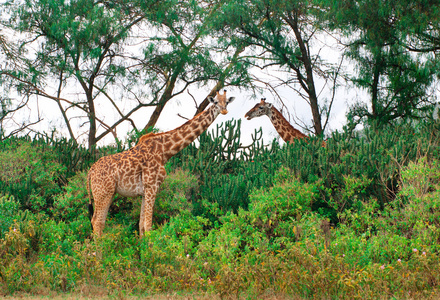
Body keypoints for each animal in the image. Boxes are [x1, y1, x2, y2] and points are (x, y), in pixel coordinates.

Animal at [87, 89, 235, 237]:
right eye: (215, 102)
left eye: (227, 102)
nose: (224, 111)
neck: (165, 151)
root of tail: (90, 171)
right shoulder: (152, 186)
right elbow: (148, 225)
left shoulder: (145, 191)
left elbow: (141, 225)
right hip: (103, 192)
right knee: (97, 222)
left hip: (108, 193)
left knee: (98, 221)